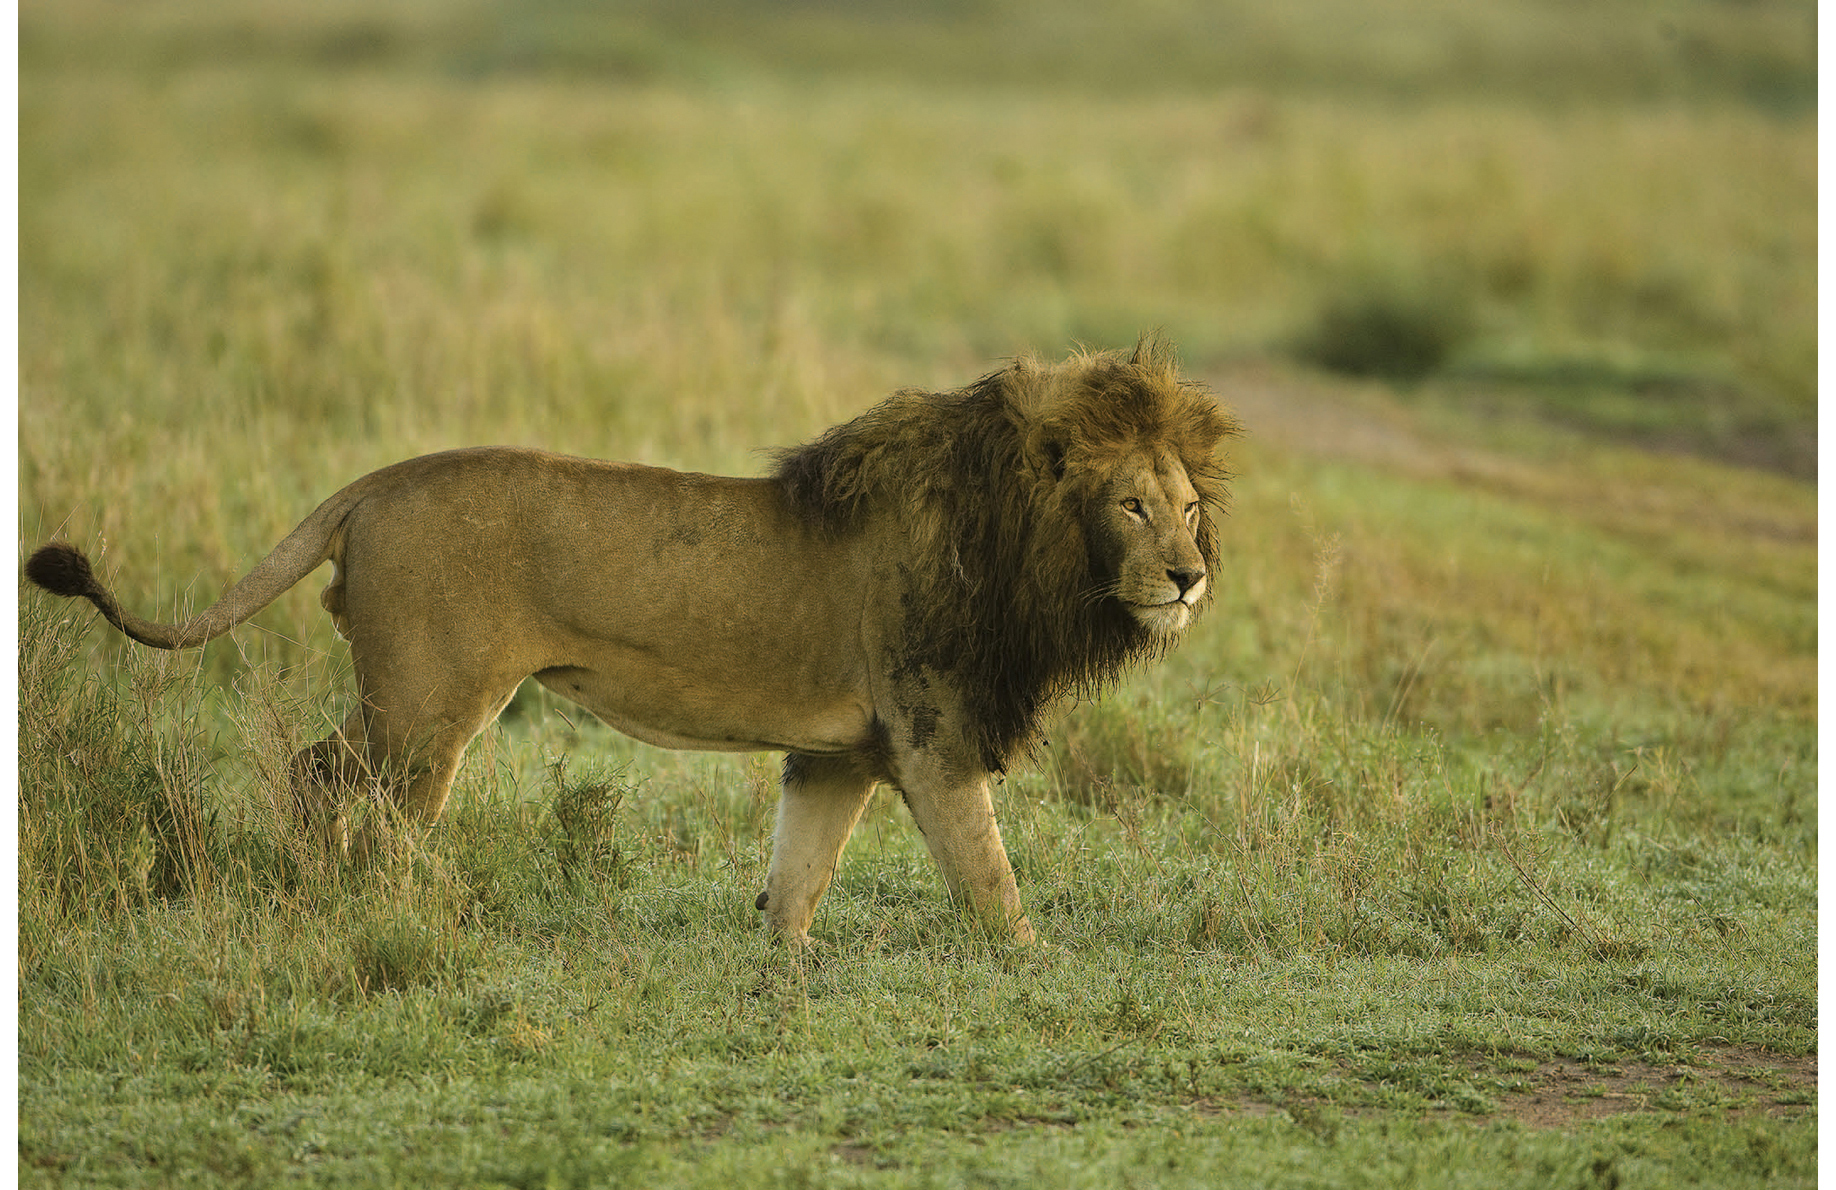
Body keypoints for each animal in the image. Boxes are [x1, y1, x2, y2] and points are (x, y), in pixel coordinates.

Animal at [25, 339, 1233, 940]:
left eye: (1187, 507)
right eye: (1130, 506)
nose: (1191, 576)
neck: (1026, 542)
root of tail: (375, 483)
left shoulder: (840, 751)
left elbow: (799, 874)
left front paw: (780, 971)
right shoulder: (932, 736)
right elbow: (991, 880)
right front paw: (1029, 971)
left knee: (324, 776)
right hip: (426, 705)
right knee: (340, 787)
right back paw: (387, 912)